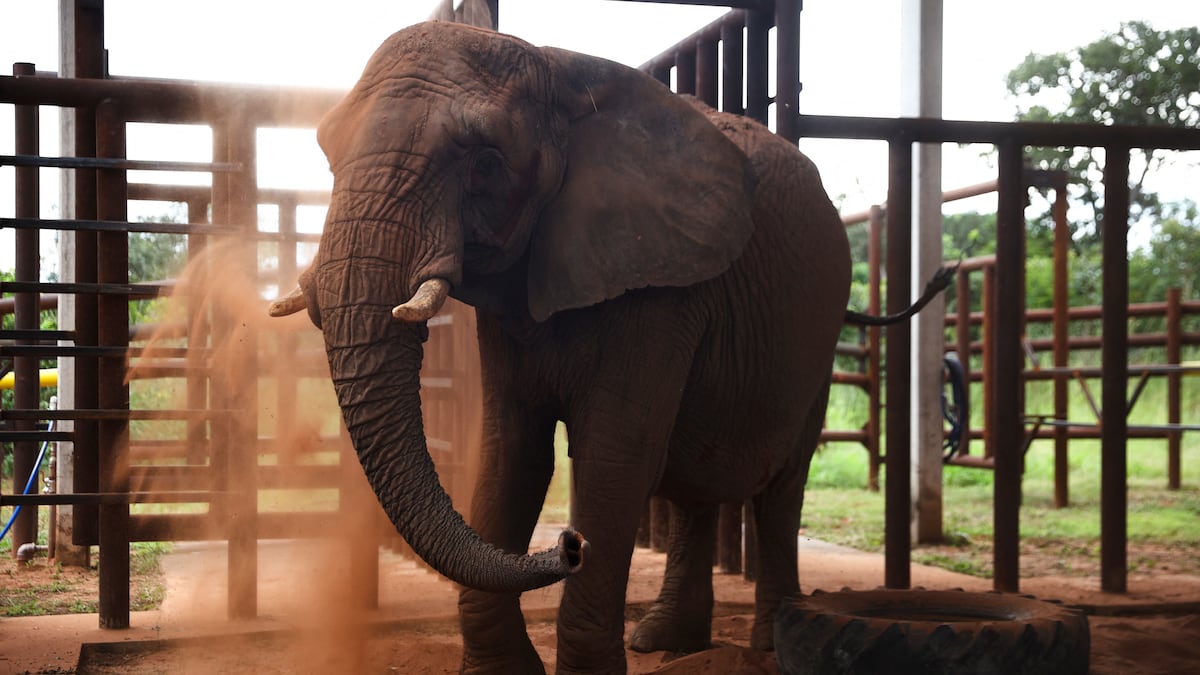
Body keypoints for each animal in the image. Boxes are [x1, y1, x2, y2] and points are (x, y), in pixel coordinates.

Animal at [269, 20, 912, 674]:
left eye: (484, 163)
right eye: (326, 151)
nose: (571, 544)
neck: (560, 72)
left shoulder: (659, 284)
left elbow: (614, 456)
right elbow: (511, 451)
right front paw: (502, 671)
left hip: (818, 334)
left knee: (780, 486)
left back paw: (765, 643)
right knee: (695, 483)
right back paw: (664, 641)